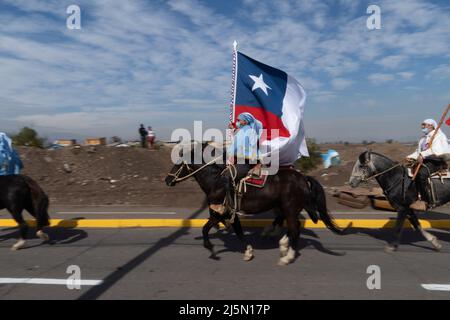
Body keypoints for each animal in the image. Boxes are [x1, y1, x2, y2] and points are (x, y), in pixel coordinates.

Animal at [165, 142, 344, 264]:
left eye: (178, 163)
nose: (167, 180)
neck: (215, 181)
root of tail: (302, 177)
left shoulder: (221, 212)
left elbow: (206, 230)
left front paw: (212, 249)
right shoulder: (226, 214)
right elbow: (236, 231)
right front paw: (248, 251)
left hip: (290, 208)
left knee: (295, 229)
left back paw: (287, 256)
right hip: (286, 208)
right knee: (289, 225)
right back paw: (280, 242)